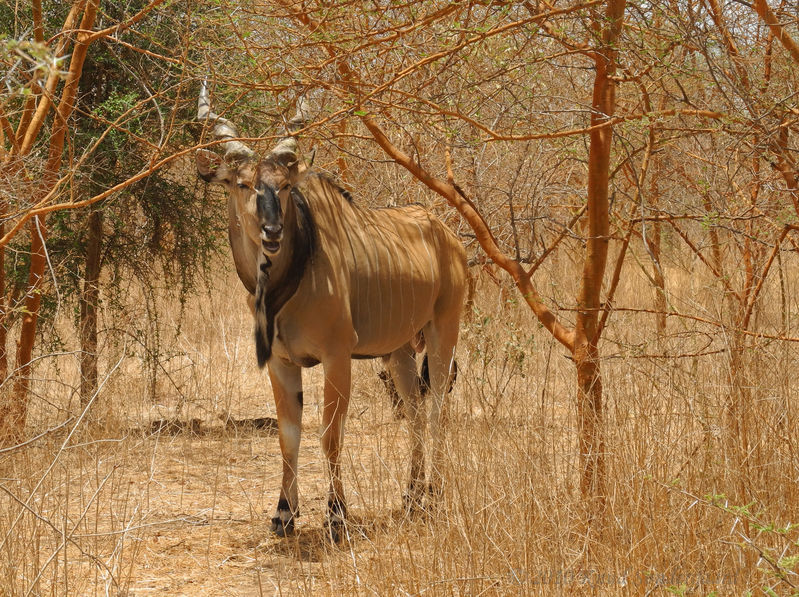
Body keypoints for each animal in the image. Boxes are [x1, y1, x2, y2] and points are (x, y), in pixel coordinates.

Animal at [195, 85, 468, 540]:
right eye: (242, 183)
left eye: (285, 186)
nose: (272, 231)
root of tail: (446, 234)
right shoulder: (282, 363)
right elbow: (289, 436)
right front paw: (284, 514)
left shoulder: (337, 357)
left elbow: (329, 434)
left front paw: (337, 515)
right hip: (398, 351)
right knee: (414, 411)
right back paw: (412, 496)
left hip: (442, 332)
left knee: (437, 411)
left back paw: (437, 492)